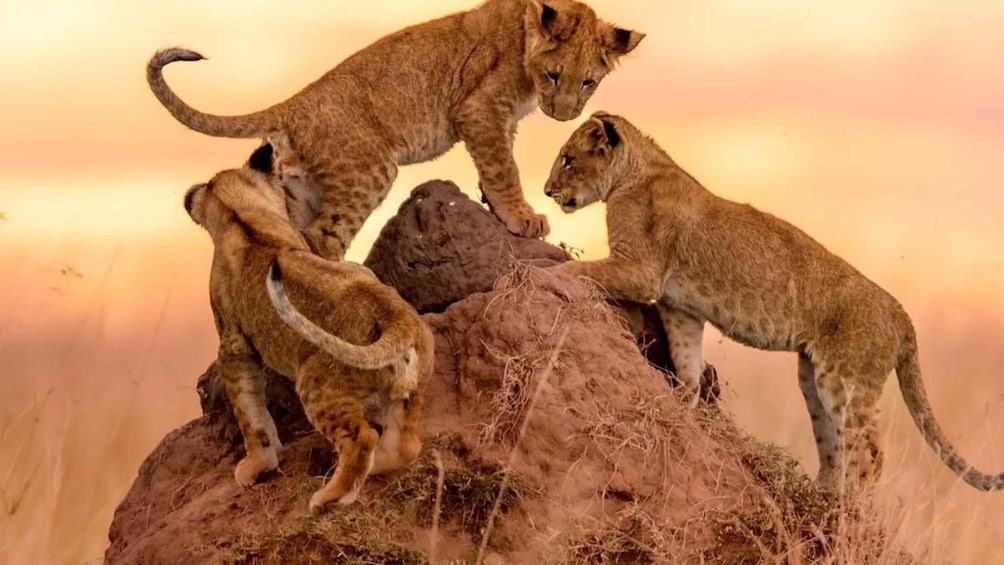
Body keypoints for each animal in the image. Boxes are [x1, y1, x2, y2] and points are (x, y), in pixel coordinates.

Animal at [148, 0, 645, 260]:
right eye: (555, 75)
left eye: (589, 81)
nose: (563, 115)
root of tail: (295, 104)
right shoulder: (479, 109)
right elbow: (504, 168)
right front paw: (521, 218)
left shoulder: (499, 120)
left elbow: (495, 165)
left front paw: (493, 204)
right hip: (369, 169)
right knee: (323, 239)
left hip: (299, 188)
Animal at [185, 143, 436, 510]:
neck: (242, 212)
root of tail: (395, 316)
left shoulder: (233, 346)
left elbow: (250, 415)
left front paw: (256, 466)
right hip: (413, 384)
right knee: (406, 444)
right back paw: (379, 468)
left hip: (315, 382)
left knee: (361, 437)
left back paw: (328, 498)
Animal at [542, 111, 1004, 491]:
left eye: (567, 158)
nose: (546, 191)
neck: (633, 173)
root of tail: (902, 312)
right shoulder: (681, 307)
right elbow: (689, 367)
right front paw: (678, 406)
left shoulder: (639, 270)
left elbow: (581, 271)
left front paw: (546, 274)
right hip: (813, 378)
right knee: (836, 448)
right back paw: (822, 498)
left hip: (847, 379)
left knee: (869, 456)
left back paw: (845, 515)